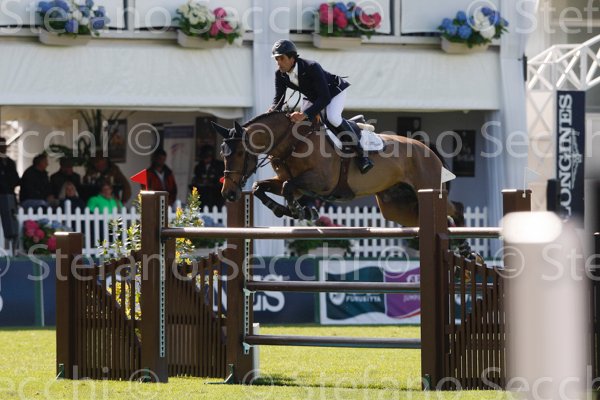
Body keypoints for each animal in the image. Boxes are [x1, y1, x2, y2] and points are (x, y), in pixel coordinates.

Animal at [211, 110, 458, 228]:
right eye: (222, 153)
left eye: (240, 154)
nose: (228, 193)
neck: (293, 142)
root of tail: (431, 152)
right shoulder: (292, 183)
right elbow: (259, 187)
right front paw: (286, 210)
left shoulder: (321, 182)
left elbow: (289, 186)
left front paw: (301, 211)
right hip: (396, 207)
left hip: (426, 189)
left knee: (450, 212)